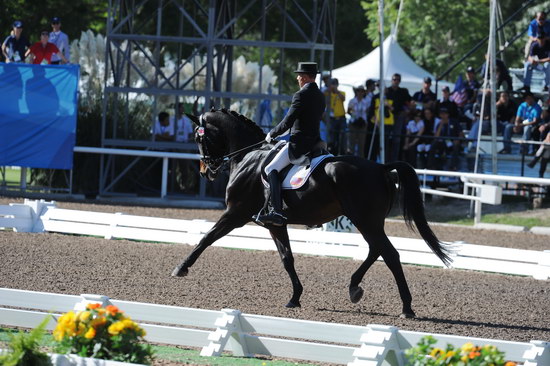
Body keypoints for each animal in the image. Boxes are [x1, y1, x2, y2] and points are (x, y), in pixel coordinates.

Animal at [174, 108, 452, 318]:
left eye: (199, 138)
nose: (205, 171)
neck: (247, 157)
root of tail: (381, 167)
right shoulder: (275, 224)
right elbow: (287, 258)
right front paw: (295, 298)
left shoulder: (235, 214)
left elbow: (207, 238)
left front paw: (181, 268)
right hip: (368, 221)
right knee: (377, 250)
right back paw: (355, 288)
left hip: (365, 219)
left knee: (390, 254)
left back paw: (406, 307)